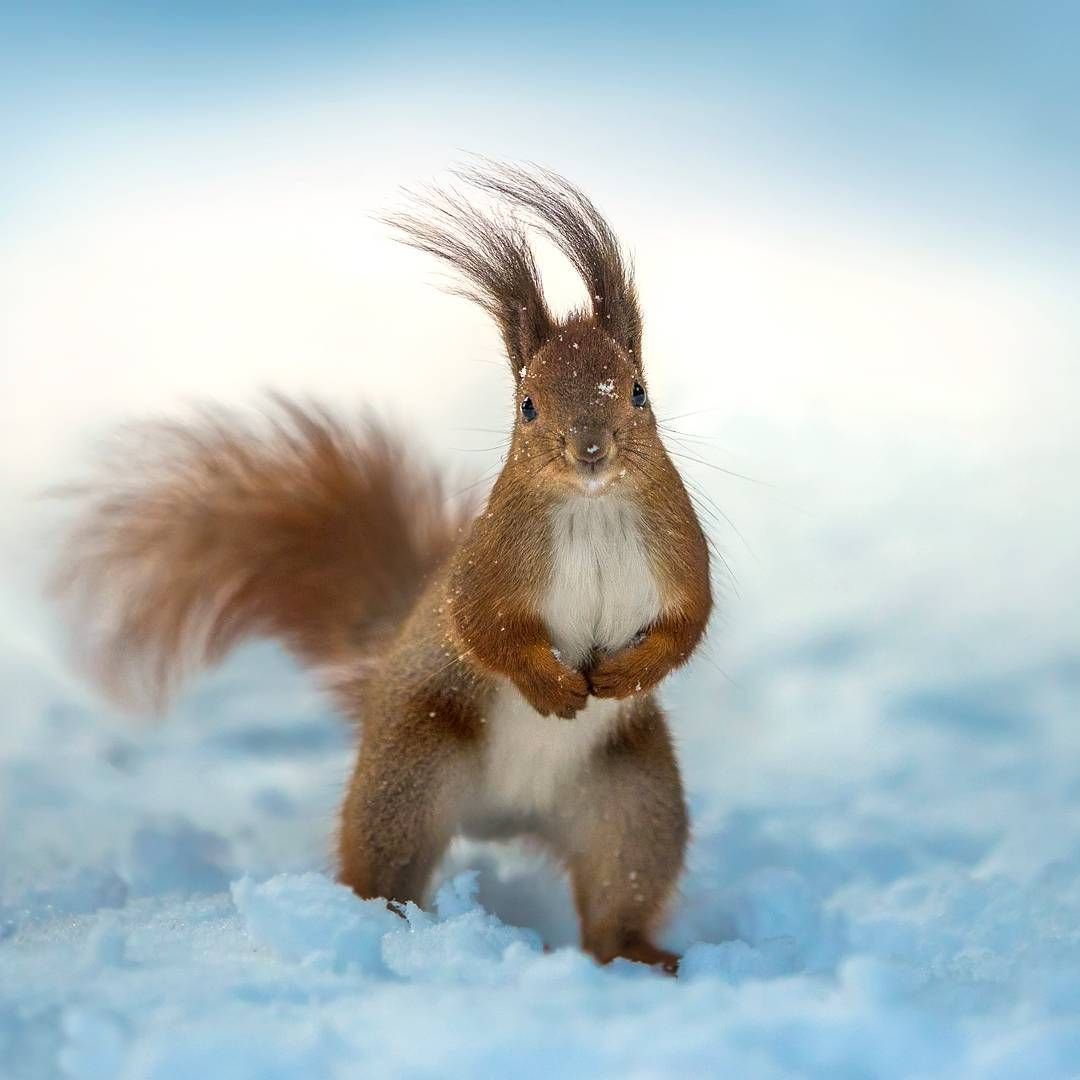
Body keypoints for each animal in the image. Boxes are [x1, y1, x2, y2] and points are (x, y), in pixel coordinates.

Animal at [50, 163, 713, 973]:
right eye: (527, 405)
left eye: (639, 392)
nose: (590, 450)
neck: (592, 507)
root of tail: (506, 816)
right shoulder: (489, 565)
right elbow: (481, 627)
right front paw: (552, 685)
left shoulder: (679, 551)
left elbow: (686, 624)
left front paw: (626, 675)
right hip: (408, 776)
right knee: (386, 866)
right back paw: (384, 929)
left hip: (634, 804)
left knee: (617, 899)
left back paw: (640, 956)